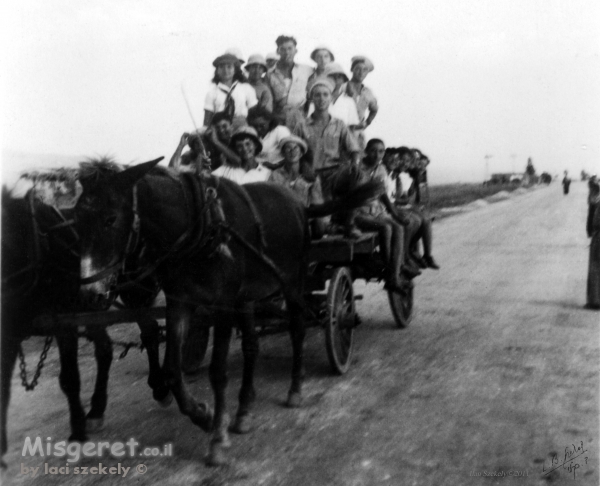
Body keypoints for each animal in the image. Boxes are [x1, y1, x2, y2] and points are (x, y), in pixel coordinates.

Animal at [0, 187, 113, 468]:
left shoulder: (64, 324)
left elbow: (70, 379)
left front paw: (78, 432)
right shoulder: (8, 335)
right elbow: (4, 390)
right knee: (105, 348)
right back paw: (96, 409)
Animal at [74, 160, 376, 468]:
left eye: (110, 219)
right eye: (75, 221)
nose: (89, 292)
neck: (198, 227)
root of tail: (301, 205)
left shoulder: (223, 305)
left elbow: (218, 372)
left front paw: (217, 436)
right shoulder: (180, 302)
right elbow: (172, 370)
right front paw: (203, 415)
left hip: (294, 281)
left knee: (297, 330)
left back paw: (295, 389)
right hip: (247, 298)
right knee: (251, 346)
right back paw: (244, 410)